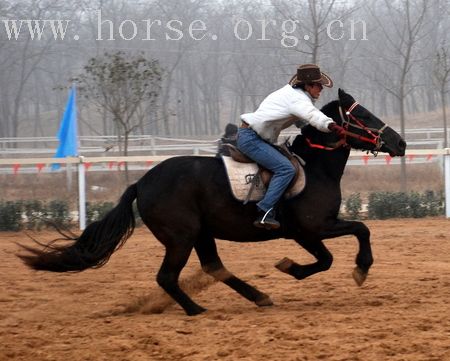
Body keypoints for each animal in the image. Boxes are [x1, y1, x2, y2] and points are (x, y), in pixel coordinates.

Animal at [19, 88, 406, 316]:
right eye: (364, 116)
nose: (400, 143)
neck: (315, 169)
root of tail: (141, 182)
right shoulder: (311, 229)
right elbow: (349, 240)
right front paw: (351, 269)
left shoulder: (312, 231)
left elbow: (344, 244)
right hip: (181, 237)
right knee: (167, 277)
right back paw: (196, 309)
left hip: (201, 234)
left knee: (213, 267)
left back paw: (257, 296)